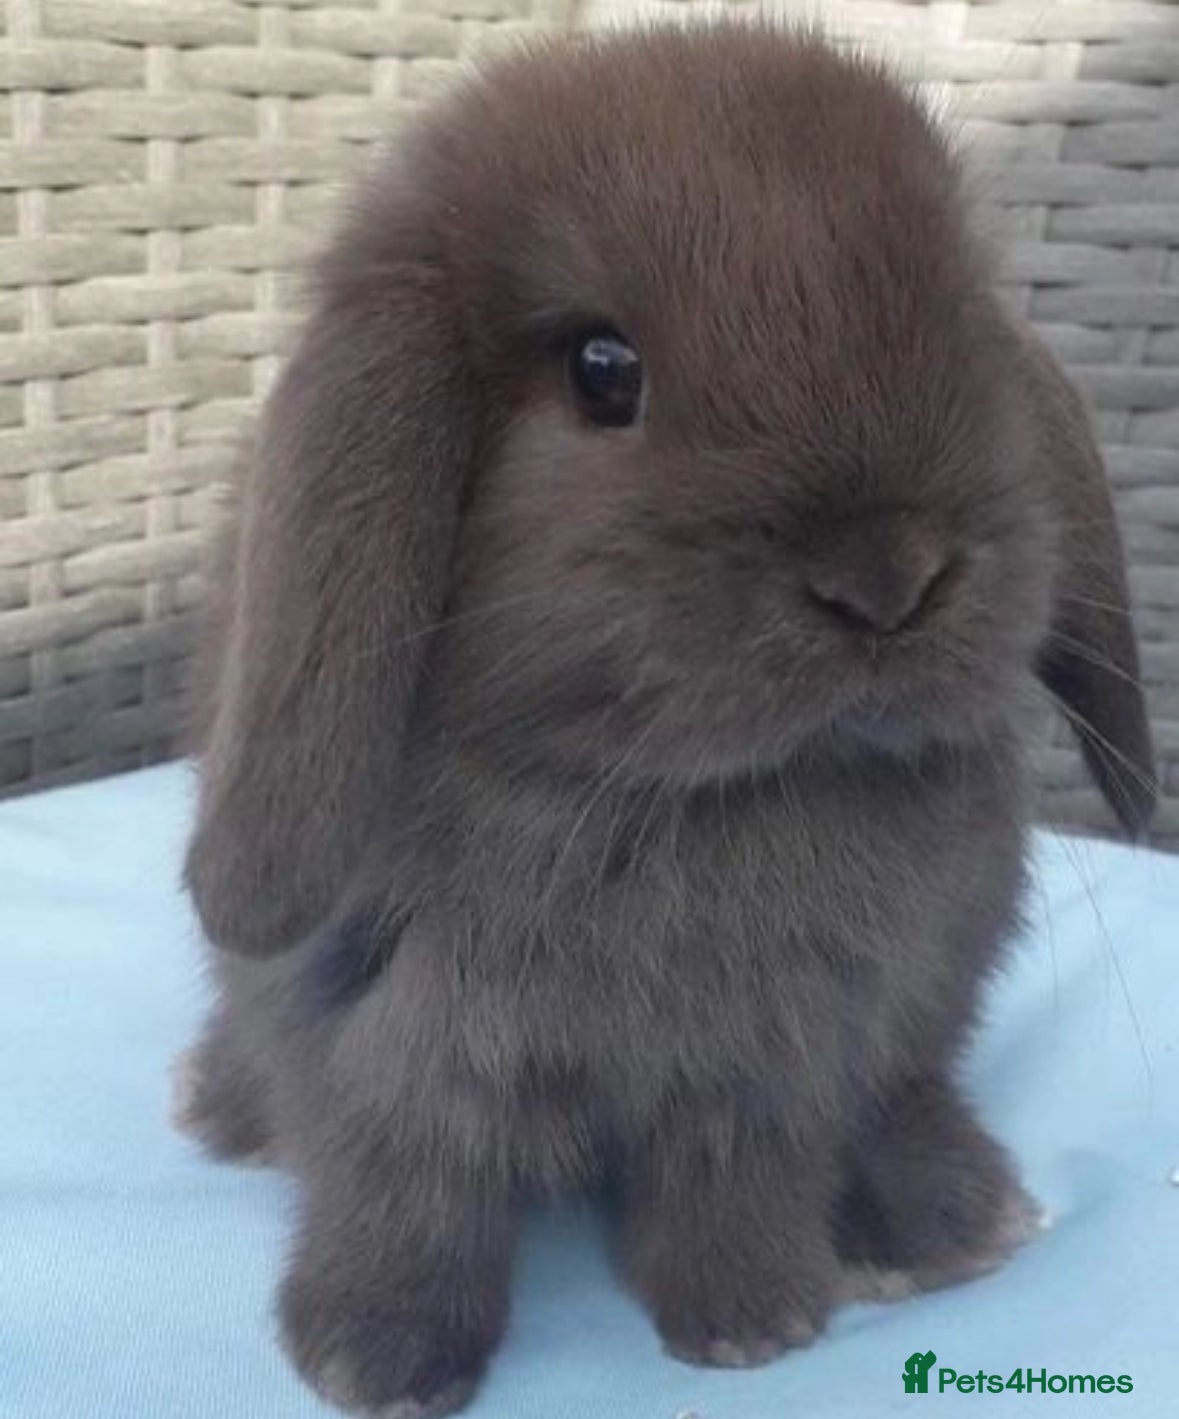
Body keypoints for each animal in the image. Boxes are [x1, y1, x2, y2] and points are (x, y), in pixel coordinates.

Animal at [174, 21, 1156, 1419]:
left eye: (963, 318)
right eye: (602, 368)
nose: (888, 578)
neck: (671, 797)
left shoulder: (773, 1065)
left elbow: (732, 1185)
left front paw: (753, 1323)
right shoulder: (388, 1050)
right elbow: (405, 1195)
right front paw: (376, 1361)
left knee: (908, 1092)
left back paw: (954, 1220)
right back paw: (221, 1111)